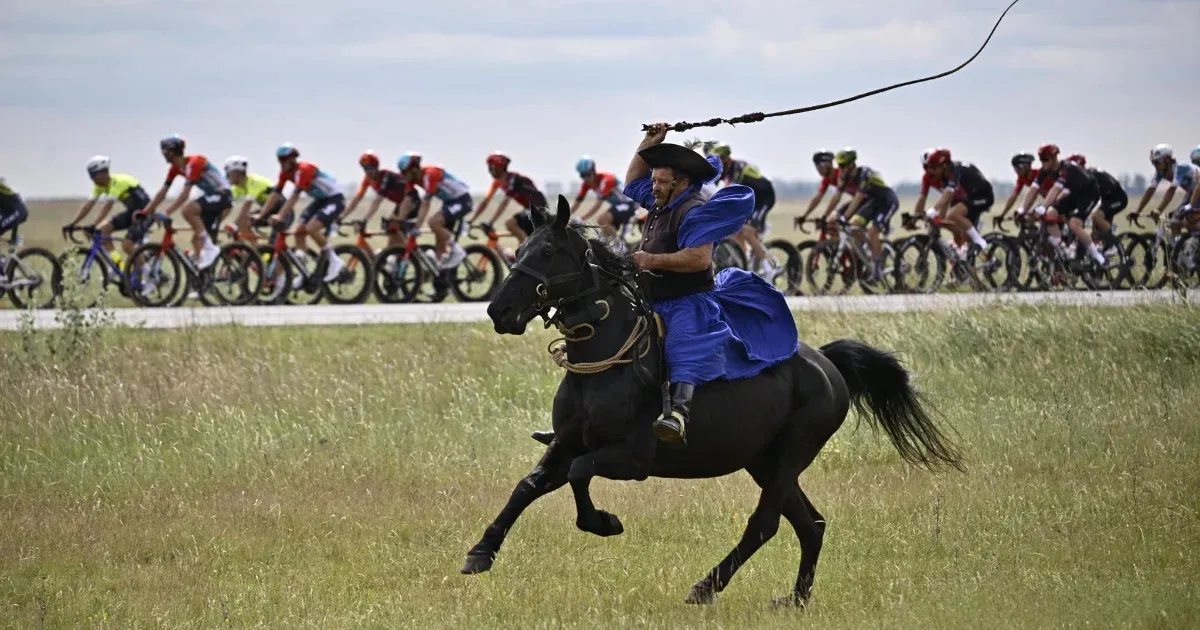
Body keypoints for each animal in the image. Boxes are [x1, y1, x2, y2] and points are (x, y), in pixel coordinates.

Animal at [463, 196, 960, 604]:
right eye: (518, 252)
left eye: (548, 252)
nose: (499, 311)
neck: (605, 363)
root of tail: (827, 365)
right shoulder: (565, 444)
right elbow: (528, 485)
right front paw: (480, 552)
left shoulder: (631, 458)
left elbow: (581, 476)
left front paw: (605, 522)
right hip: (764, 462)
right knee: (811, 524)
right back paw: (796, 599)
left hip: (790, 456)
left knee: (765, 524)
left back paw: (706, 586)